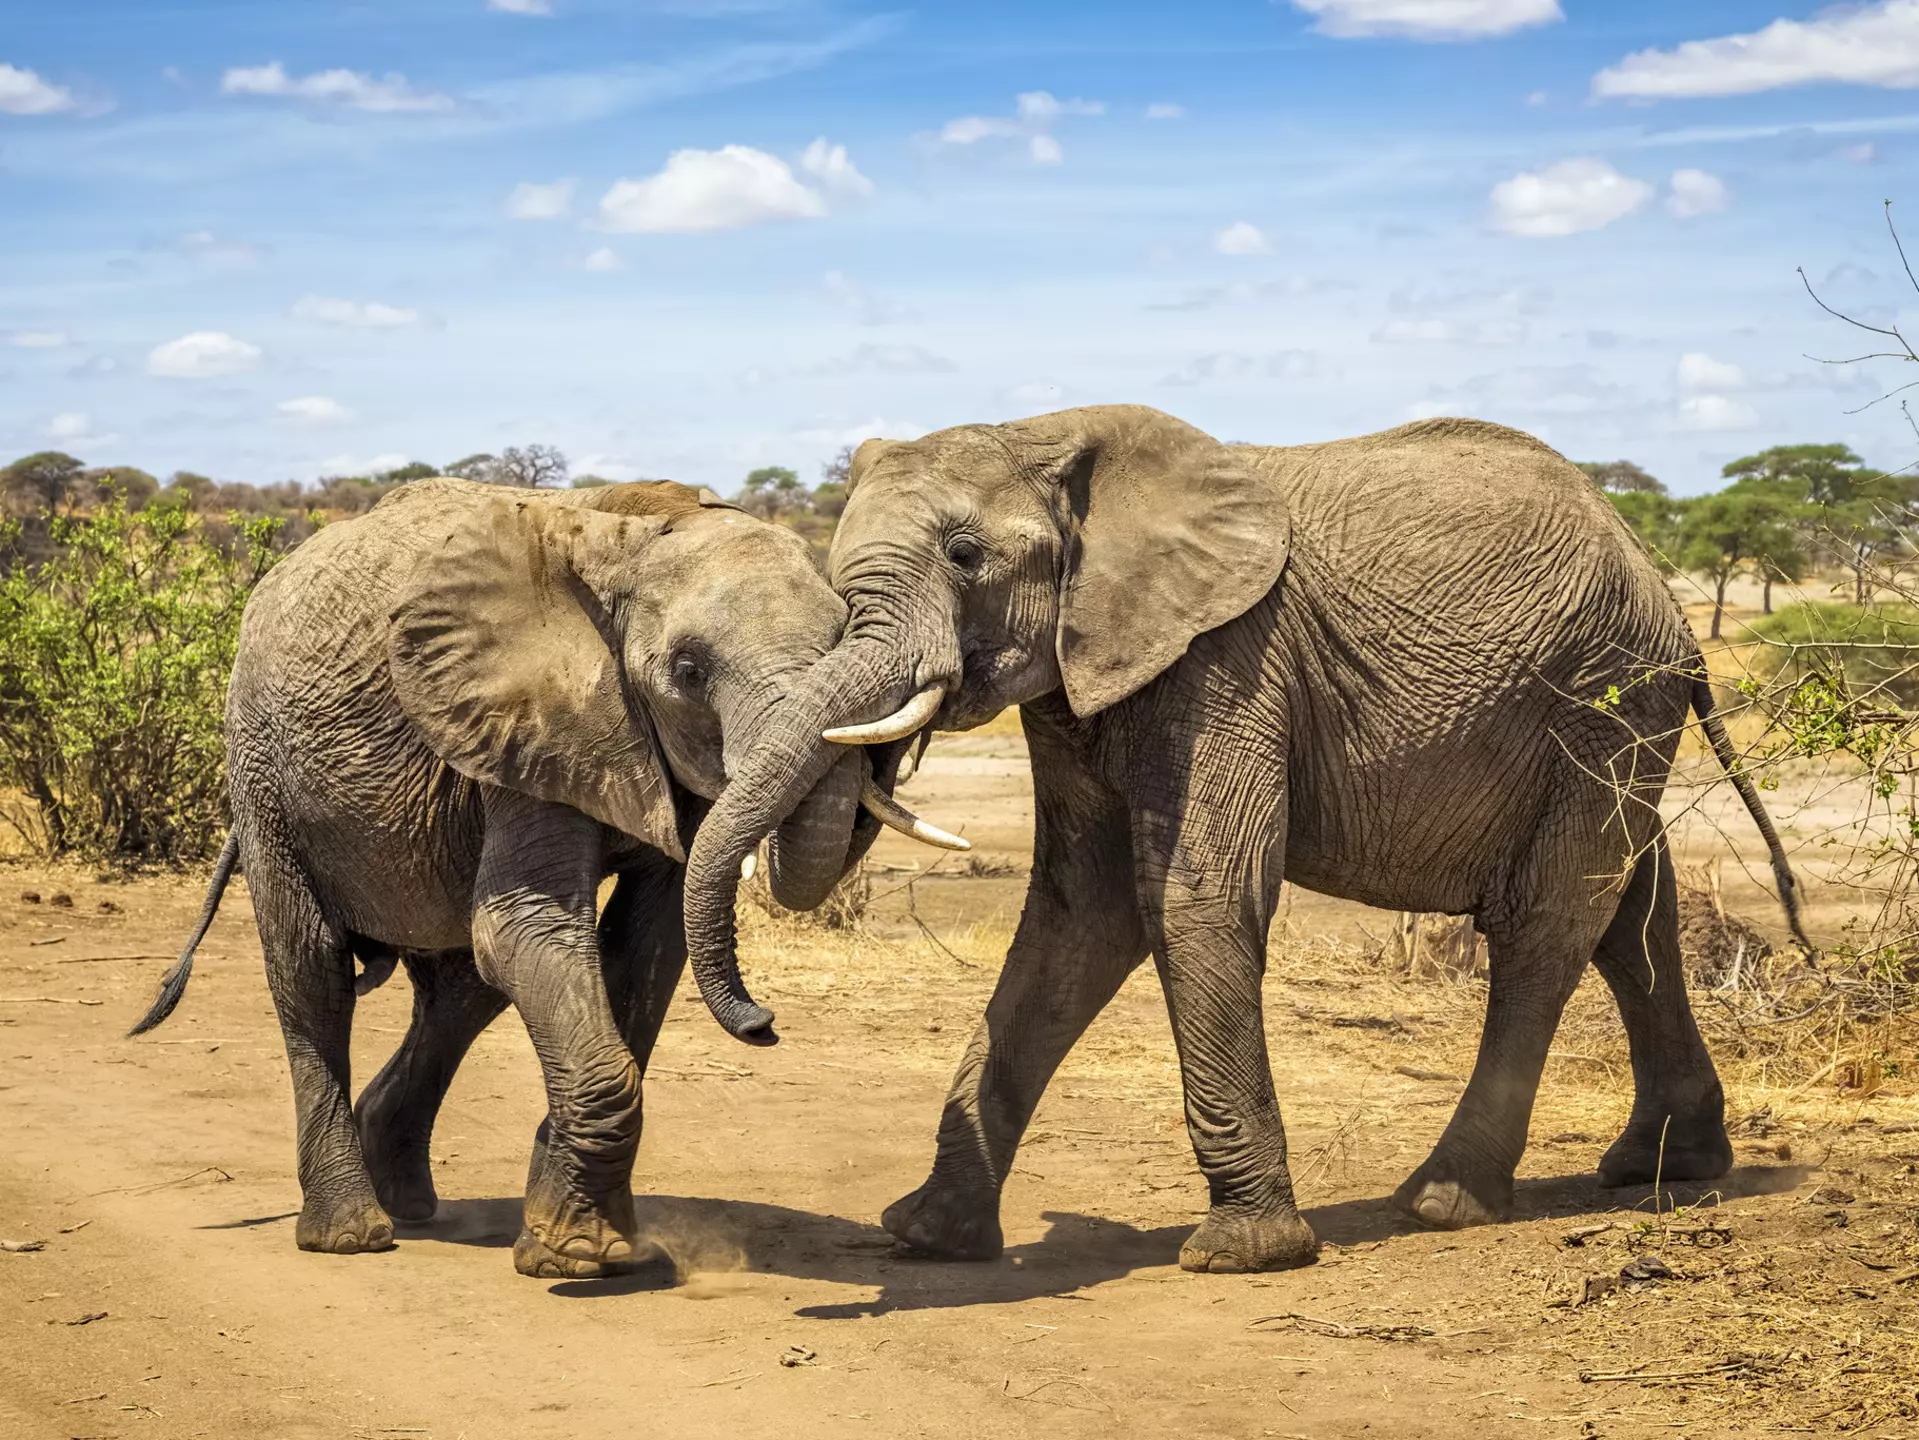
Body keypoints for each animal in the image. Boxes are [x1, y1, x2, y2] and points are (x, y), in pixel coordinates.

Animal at [129, 477, 962, 1277]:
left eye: (846, 637)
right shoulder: (527, 721)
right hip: (261, 769)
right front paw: (580, 1259)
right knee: (313, 971)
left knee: (461, 990)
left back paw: (409, 1203)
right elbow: (528, 928)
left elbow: (645, 946)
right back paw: (351, 1235)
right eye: (688, 671)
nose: (764, 1025)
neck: (639, 531)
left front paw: (589, 1243)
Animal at [682, 404, 1810, 1274]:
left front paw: (1245, 1253)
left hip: (1602, 693)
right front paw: (928, 1237)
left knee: (1547, 922)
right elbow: (1075, 915)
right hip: (1612, 714)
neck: (1045, 434)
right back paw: (1663, 1166)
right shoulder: (1083, 677)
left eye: (965, 557)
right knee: (1632, 914)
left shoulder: (1227, 659)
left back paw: (1441, 1201)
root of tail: (1657, 582)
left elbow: (1193, 894)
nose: (763, 1024)